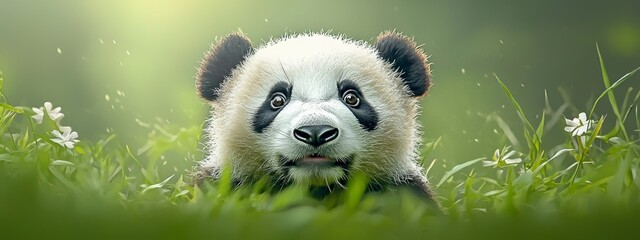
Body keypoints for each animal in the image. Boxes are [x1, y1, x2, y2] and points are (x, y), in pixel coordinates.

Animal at [192, 30, 438, 202]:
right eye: (277, 100)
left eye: (352, 98)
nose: (316, 132)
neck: (317, 189)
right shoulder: (224, 184)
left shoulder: (400, 189)